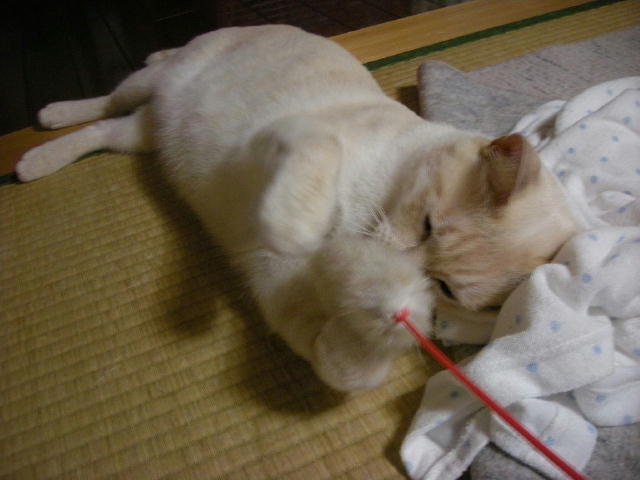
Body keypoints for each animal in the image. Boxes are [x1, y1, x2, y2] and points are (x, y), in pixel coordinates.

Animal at [16, 25, 577, 391]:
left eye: (445, 289)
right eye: (427, 225)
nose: (391, 264)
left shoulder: (279, 292)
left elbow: (347, 372)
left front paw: (383, 324)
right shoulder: (290, 137)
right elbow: (311, 177)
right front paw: (301, 231)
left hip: (142, 135)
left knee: (104, 132)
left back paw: (40, 158)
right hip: (154, 84)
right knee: (106, 102)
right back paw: (44, 130)